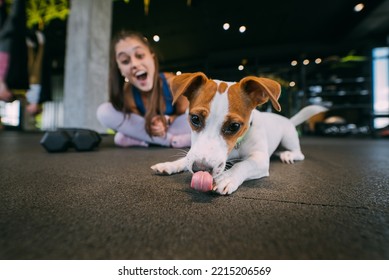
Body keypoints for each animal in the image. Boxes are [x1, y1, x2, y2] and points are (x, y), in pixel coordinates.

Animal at [150, 72, 326, 195]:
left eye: (234, 126)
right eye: (195, 119)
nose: (200, 169)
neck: (238, 144)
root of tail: (288, 120)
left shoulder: (260, 160)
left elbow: (243, 164)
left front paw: (227, 177)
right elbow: (185, 158)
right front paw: (170, 165)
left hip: (288, 138)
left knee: (299, 153)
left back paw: (288, 155)